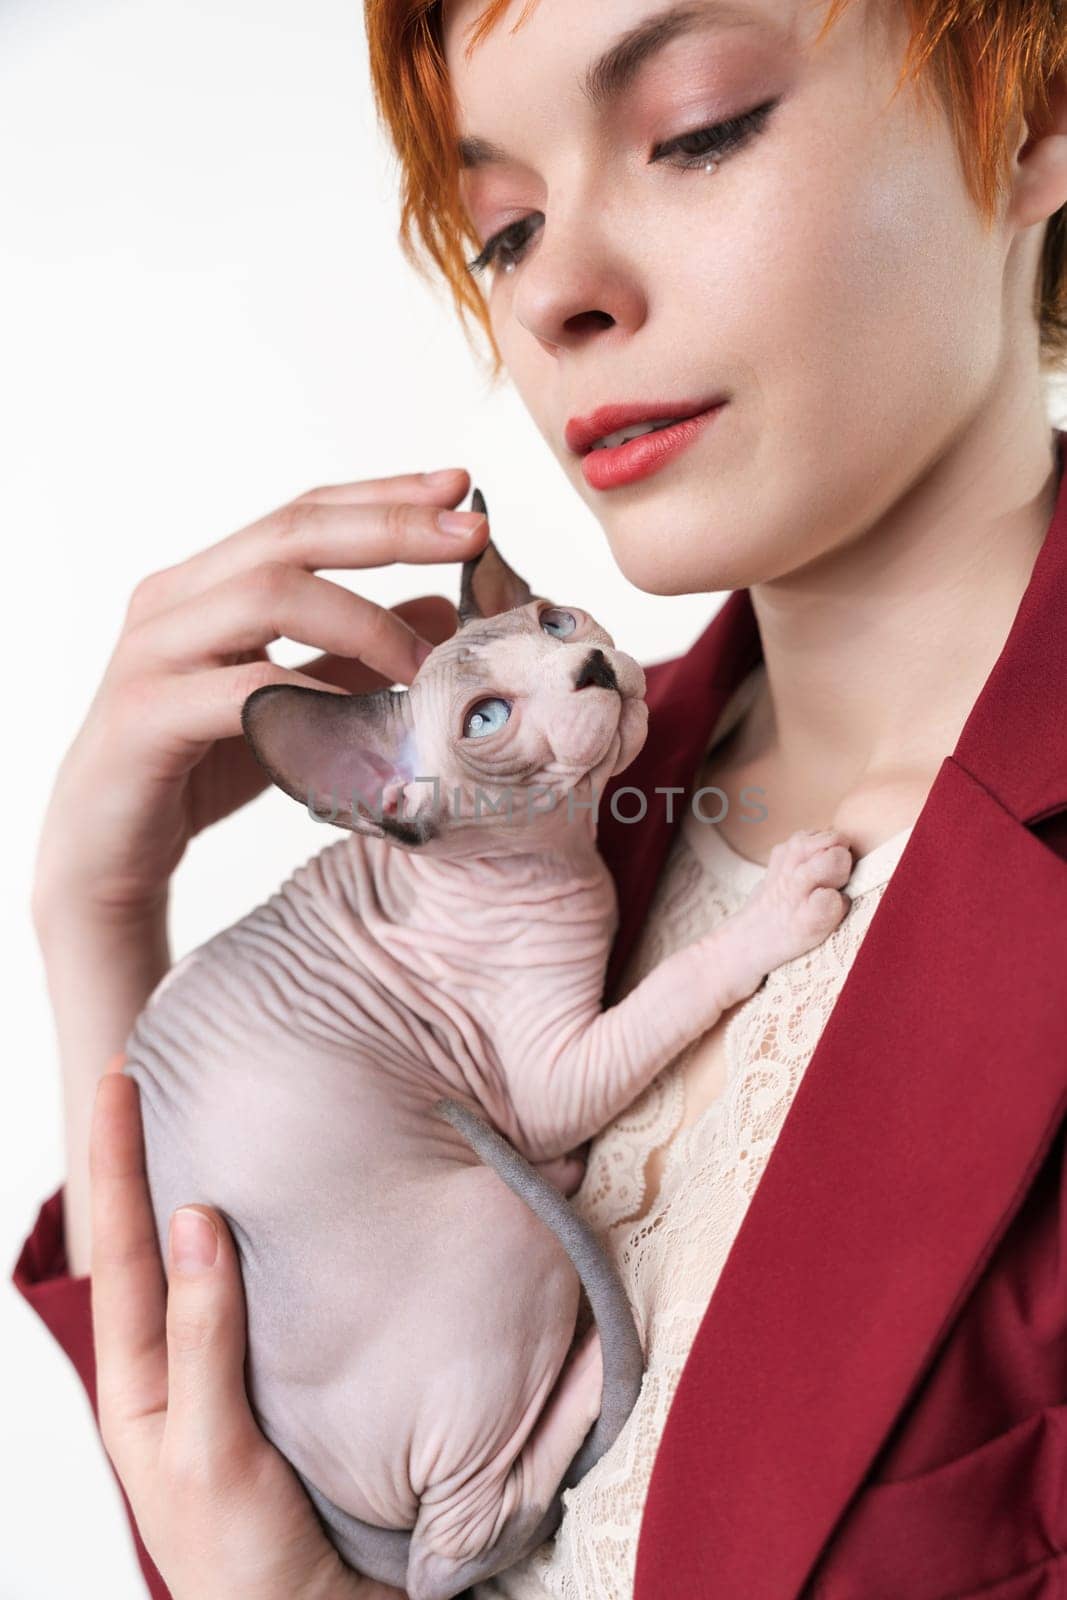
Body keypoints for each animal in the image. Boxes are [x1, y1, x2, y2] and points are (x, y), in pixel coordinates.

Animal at [123, 489, 851, 1600]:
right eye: (487, 722)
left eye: (553, 621)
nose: (589, 666)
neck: (552, 862)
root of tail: (333, 1511)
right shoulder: (543, 1082)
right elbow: (675, 982)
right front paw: (786, 900)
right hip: (496, 1224)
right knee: (457, 1543)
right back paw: (594, 1365)